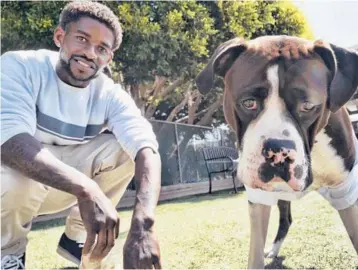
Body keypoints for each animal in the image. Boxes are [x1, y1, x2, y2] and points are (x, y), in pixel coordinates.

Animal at [196, 35, 358, 268]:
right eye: (249, 103)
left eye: (308, 106)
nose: (279, 151)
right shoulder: (259, 198)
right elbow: (254, 254)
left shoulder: (345, 192)